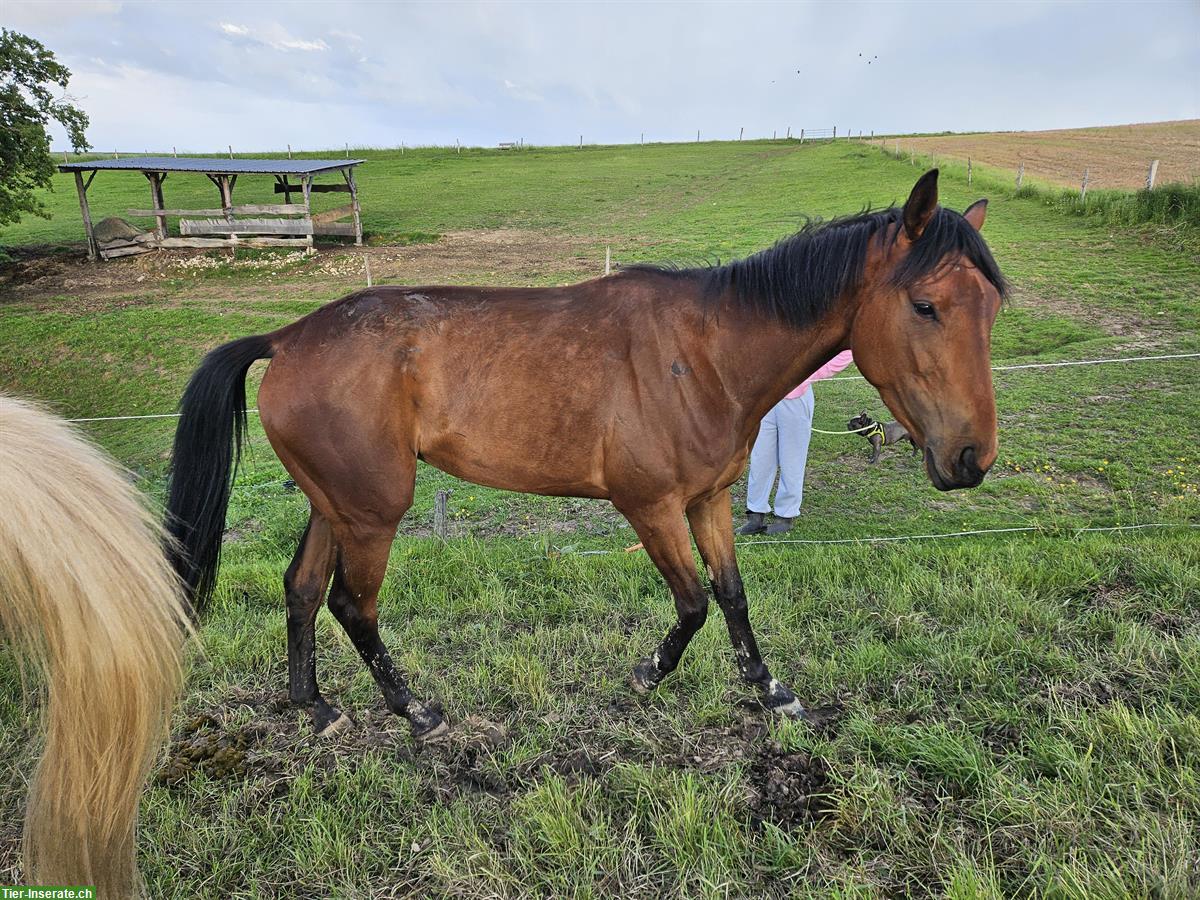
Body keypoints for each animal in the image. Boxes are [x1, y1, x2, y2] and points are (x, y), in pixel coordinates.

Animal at [162, 169, 1003, 739]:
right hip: (373, 511)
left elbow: (731, 596)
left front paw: (770, 691)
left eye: (992, 306)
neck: (703, 353)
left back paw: (315, 706)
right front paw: (645, 676)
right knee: (350, 604)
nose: (971, 458)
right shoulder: (651, 506)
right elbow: (692, 603)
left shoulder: (710, 500)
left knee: (302, 589)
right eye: (925, 305)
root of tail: (288, 338)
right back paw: (415, 710)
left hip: (334, 502)